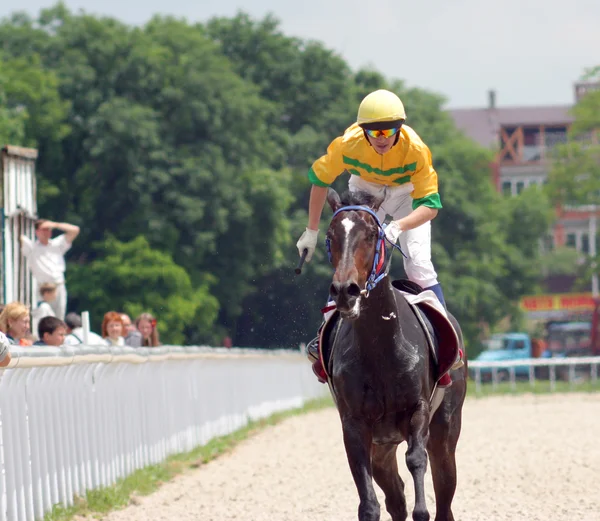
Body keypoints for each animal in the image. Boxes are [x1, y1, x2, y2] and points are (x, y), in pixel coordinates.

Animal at [322, 188, 466, 520]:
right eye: (331, 235)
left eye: (372, 234)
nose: (345, 290)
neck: (380, 348)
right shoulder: (355, 424)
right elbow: (370, 502)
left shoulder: (418, 411)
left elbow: (416, 461)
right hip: (383, 446)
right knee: (395, 496)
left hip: (446, 428)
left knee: (444, 493)